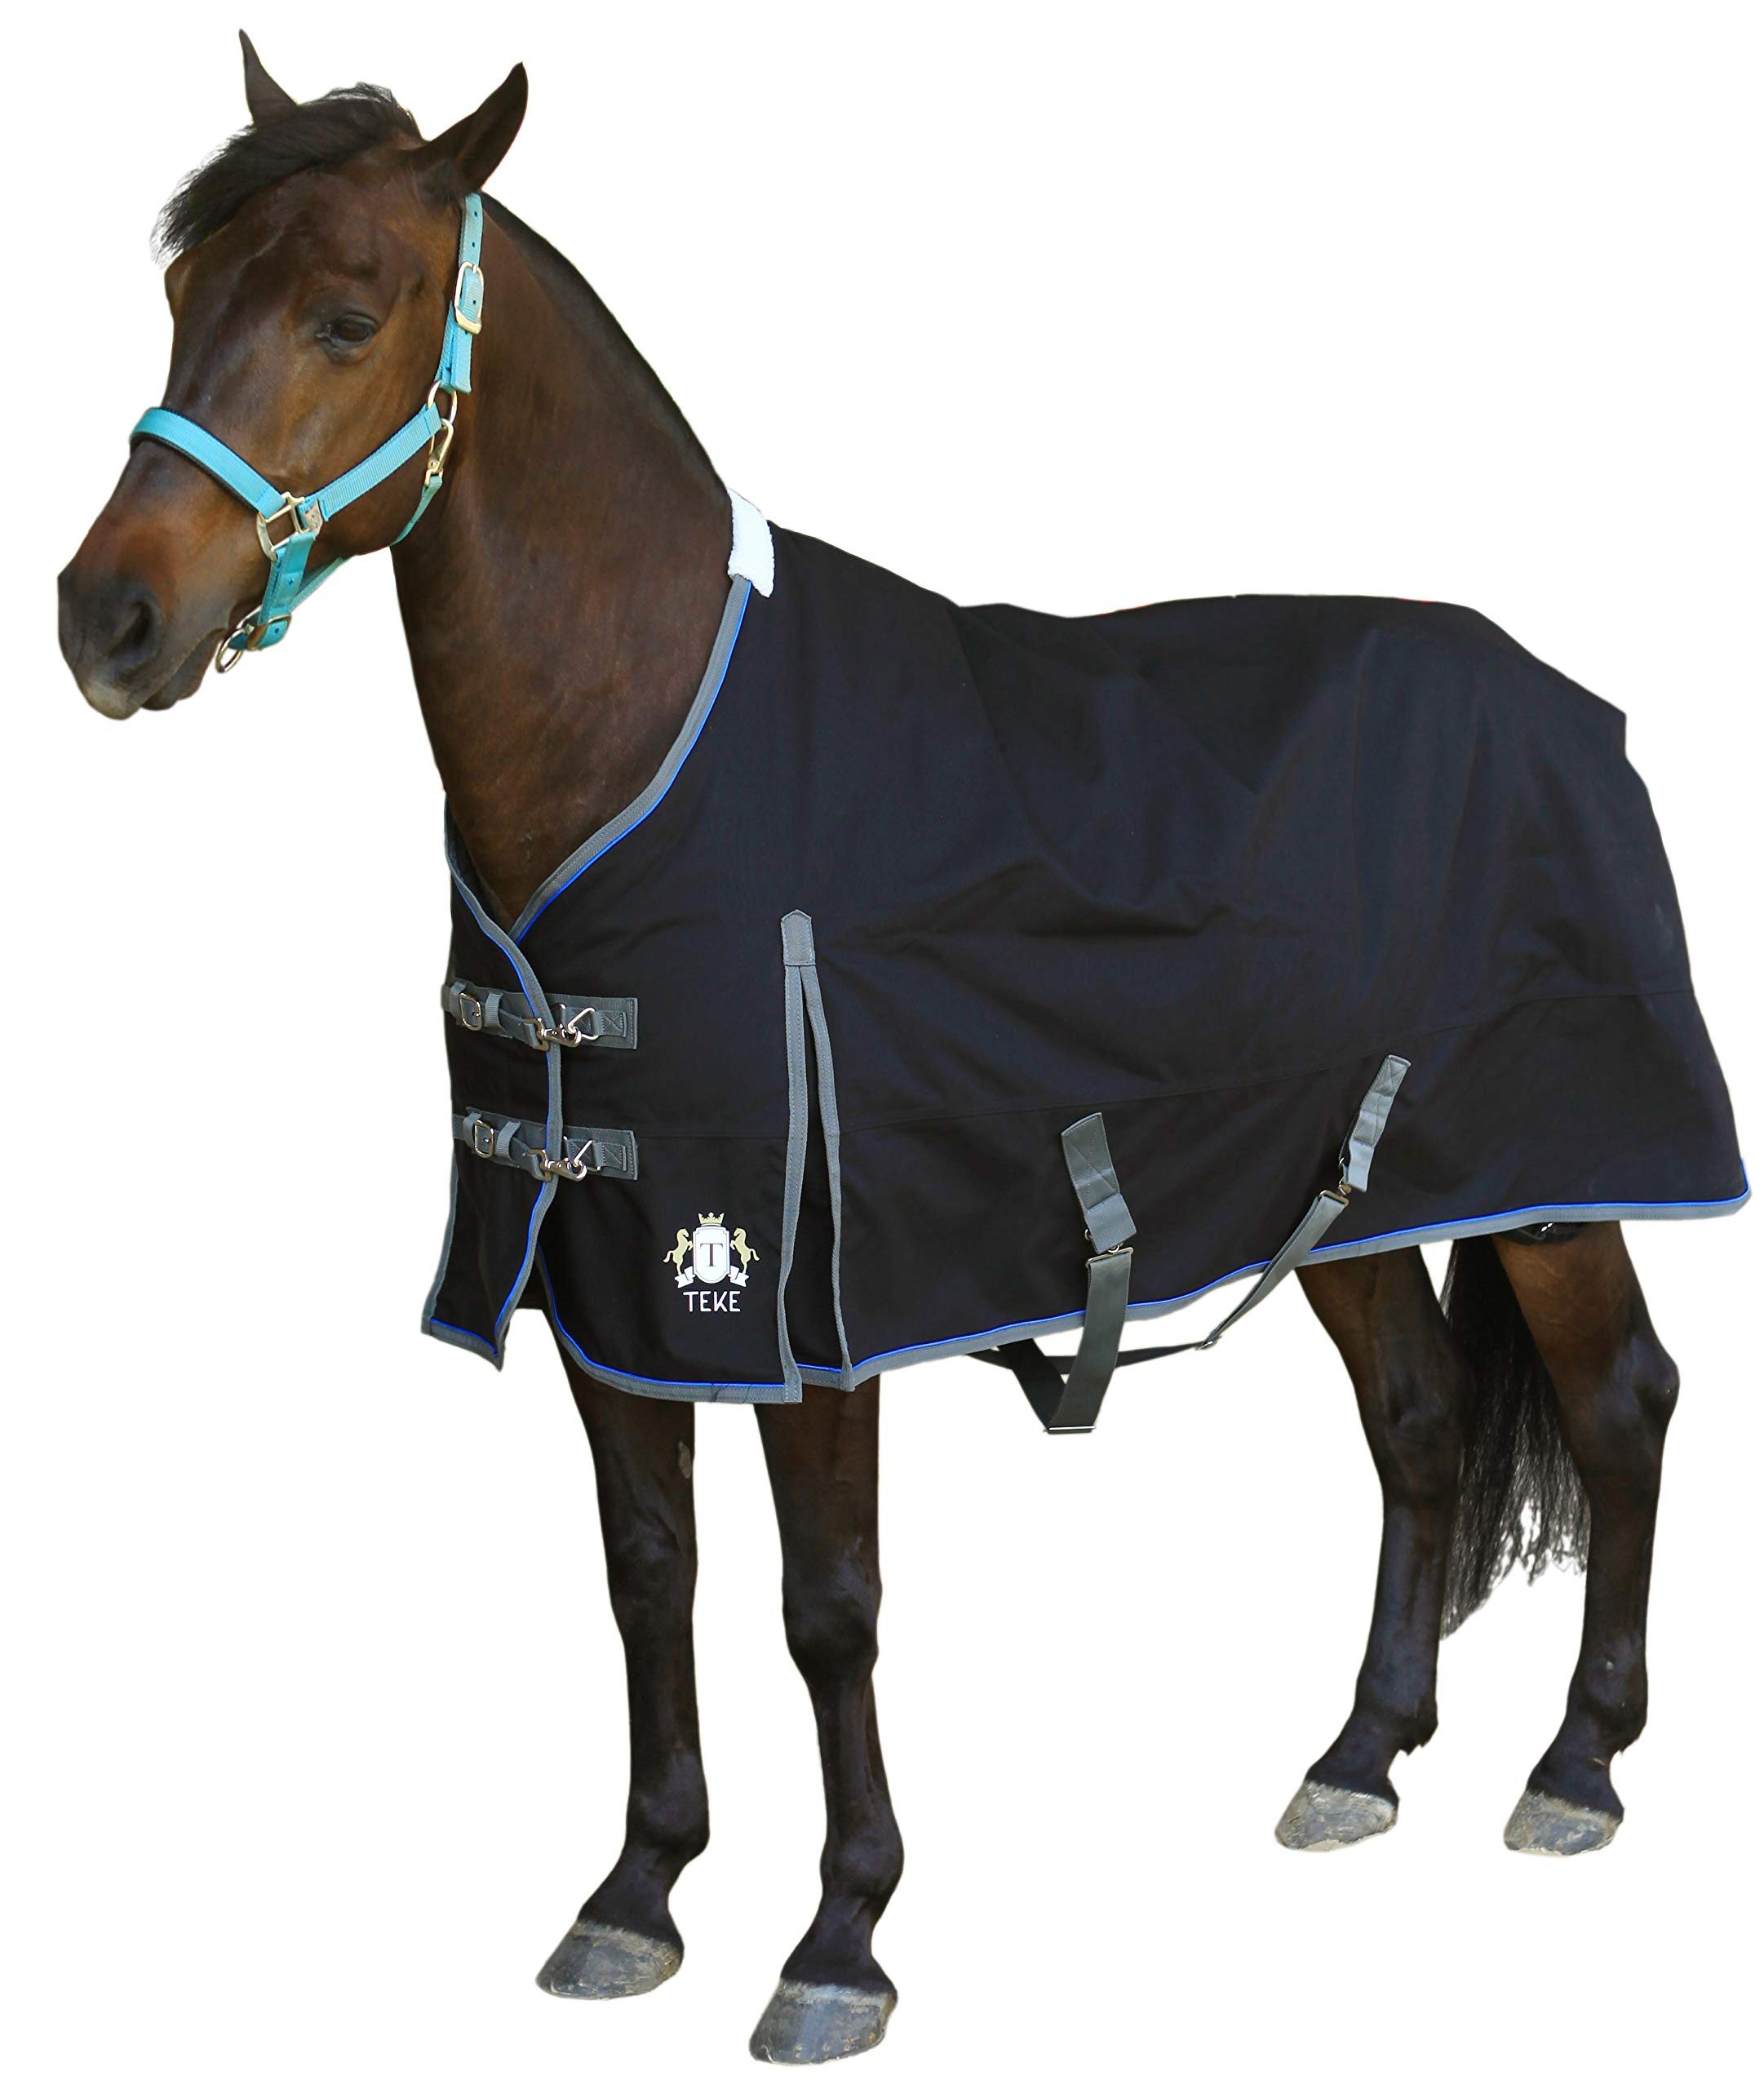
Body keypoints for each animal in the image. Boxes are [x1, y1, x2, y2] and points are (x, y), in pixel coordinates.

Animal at [57, 40, 1744, 2067]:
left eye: (344, 314)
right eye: (177, 293)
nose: (104, 617)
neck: (648, 740)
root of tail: (1573, 703)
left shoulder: (797, 1295)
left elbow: (827, 1604)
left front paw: (838, 1938)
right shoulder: (610, 1269)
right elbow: (649, 1575)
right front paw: (635, 1893)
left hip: (1558, 1183)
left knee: (1623, 1401)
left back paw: (1576, 1764)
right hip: (1342, 1194)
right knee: (1414, 1420)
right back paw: (1358, 1754)